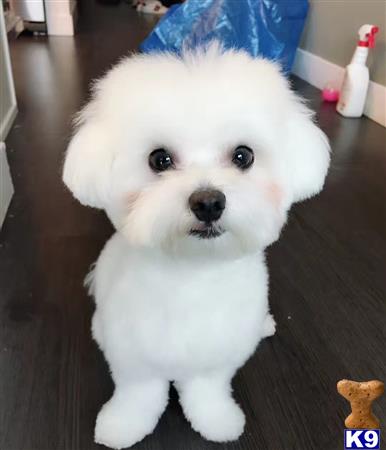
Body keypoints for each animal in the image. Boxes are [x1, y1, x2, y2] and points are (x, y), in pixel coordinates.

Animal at [62, 43, 328, 450]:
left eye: (243, 156)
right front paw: (122, 425)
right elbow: (138, 395)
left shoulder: (218, 358)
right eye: (159, 159)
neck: (192, 275)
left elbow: (208, 390)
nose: (208, 202)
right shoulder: (133, 357)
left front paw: (217, 420)